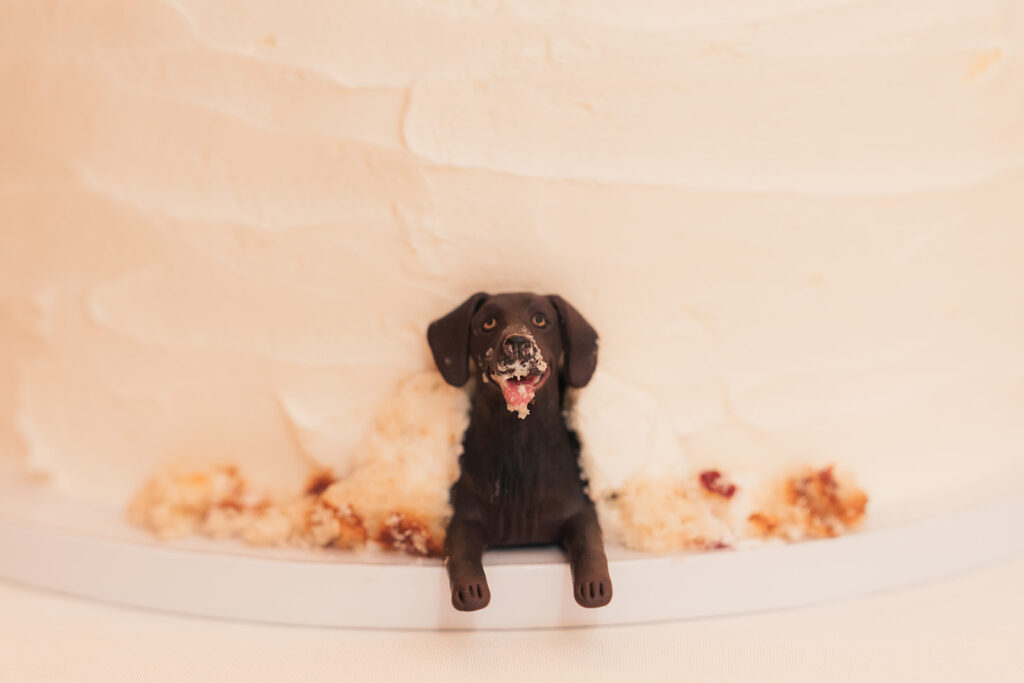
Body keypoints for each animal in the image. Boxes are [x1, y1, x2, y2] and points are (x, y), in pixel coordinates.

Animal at [428, 290, 610, 610]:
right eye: (488, 322)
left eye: (540, 319)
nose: (516, 342)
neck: (519, 444)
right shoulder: (463, 518)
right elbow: (461, 554)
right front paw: (470, 588)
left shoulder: (580, 511)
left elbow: (590, 544)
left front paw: (594, 584)